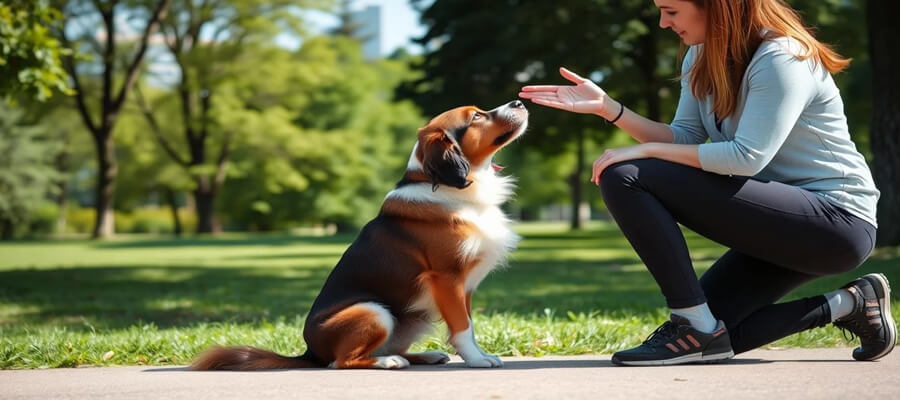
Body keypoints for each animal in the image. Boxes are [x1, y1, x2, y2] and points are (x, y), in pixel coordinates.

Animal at [190, 99, 528, 368]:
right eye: (476, 117)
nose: (519, 102)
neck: (454, 187)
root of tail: (310, 353)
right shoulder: (447, 278)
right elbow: (462, 327)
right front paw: (476, 360)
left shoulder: (463, 287)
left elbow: (468, 323)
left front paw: (478, 354)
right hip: (373, 311)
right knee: (343, 361)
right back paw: (389, 361)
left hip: (410, 317)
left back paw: (421, 355)